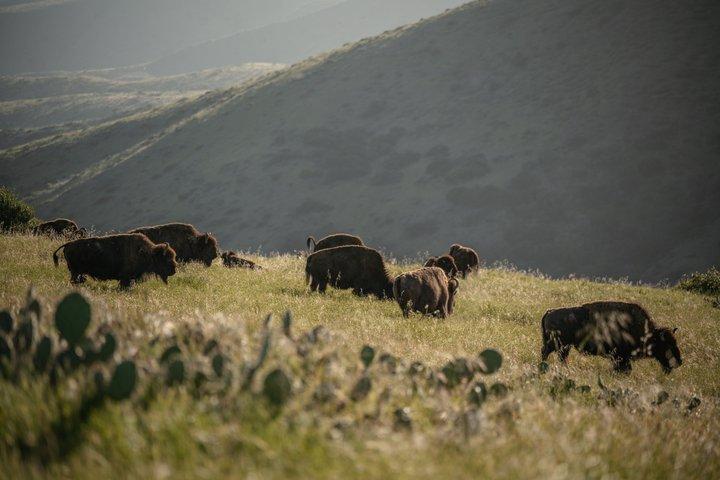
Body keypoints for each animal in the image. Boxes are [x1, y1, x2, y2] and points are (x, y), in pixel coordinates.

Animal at [541, 301, 682, 373]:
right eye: (667, 344)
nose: (679, 362)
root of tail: (549, 311)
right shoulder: (621, 356)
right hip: (559, 344)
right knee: (547, 352)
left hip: (564, 346)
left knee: (559, 356)